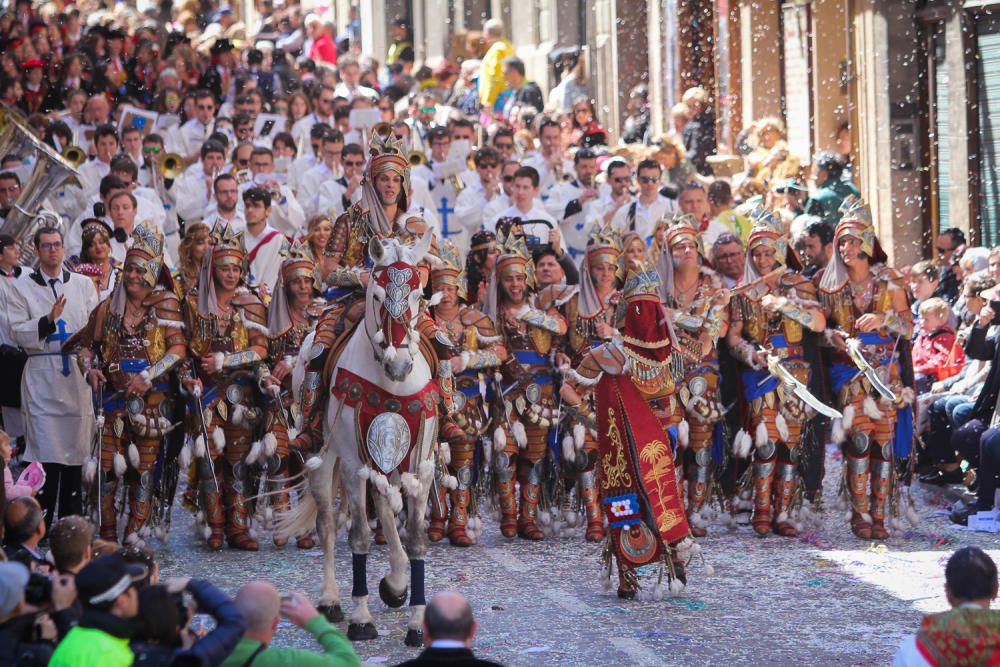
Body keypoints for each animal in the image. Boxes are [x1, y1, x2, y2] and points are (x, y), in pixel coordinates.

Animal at [280, 234, 440, 648]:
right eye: (378, 294)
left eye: (418, 294)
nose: (399, 364)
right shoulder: (353, 465)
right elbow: (359, 536)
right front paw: (361, 618)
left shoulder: (419, 467)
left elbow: (415, 538)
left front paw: (417, 623)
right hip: (324, 457)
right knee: (327, 526)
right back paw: (331, 600)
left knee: (383, 506)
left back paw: (396, 583)